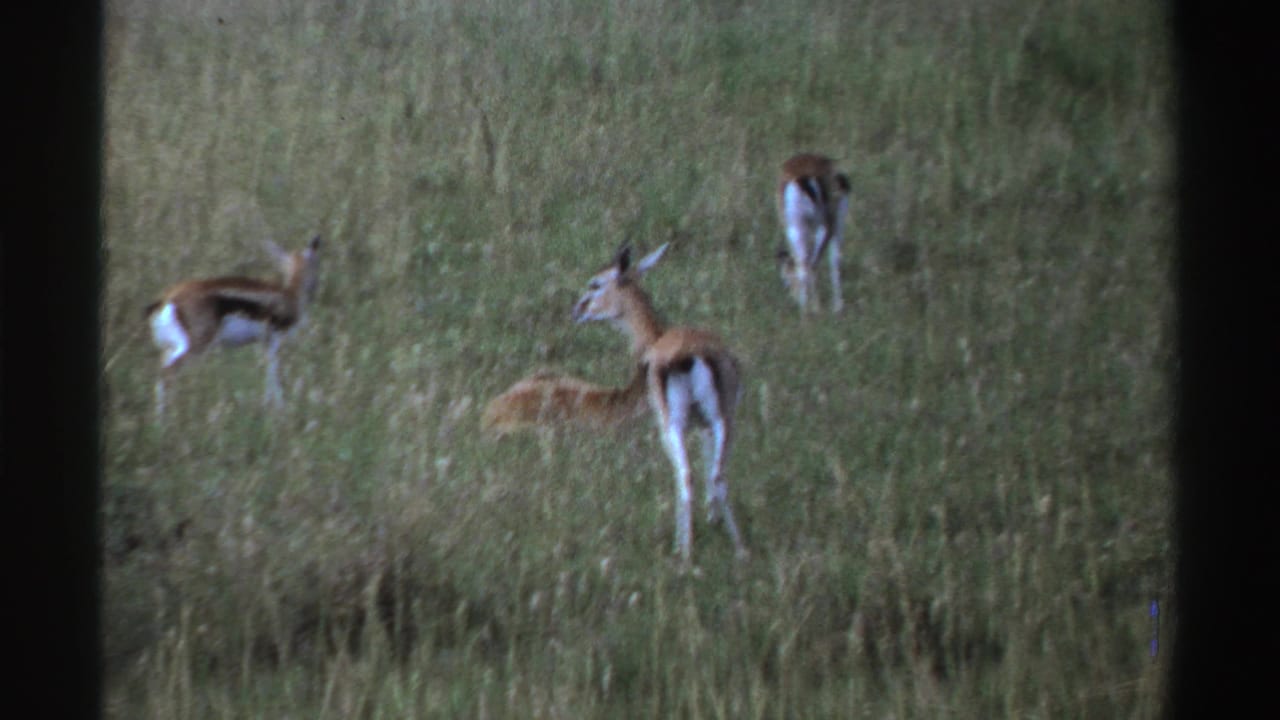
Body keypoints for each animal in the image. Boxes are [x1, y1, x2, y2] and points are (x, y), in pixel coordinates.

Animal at [144, 235, 321, 419]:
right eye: (317, 264)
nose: (316, 287)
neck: (290, 294)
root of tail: (167, 299)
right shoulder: (275, 340)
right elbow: (274, 373)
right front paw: (280, 411)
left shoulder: (264, 343)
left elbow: (268, 372)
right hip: (195, 347)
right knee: (168, 374)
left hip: (170, 349)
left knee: (161, 376)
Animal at [483, 243, 748, 564]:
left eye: (595, 284)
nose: (577, 310)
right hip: (699, 422)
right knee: (698, 476)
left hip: (708, 421)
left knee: (707, 476)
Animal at [776, 153, 850, 313]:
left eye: (785, 282)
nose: (793, 297)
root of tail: (803, 178)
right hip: (820, 225)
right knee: (815, 262)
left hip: (808, 226)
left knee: (809, 263)